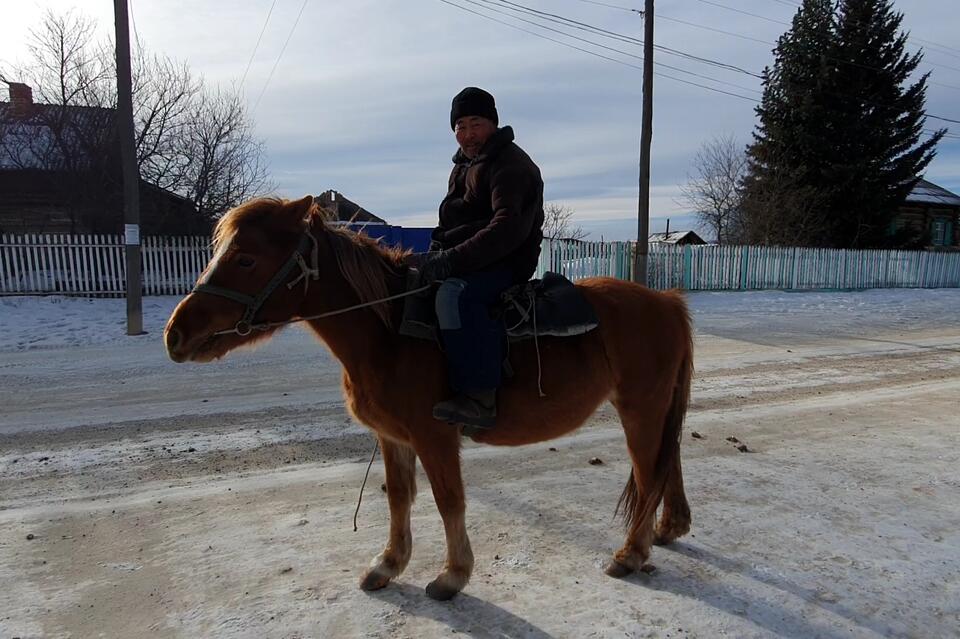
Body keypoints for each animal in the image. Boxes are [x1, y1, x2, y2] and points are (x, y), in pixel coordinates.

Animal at [163, 195, 688, 600]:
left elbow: (448, 499)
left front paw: (453, 575)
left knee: (647, 476)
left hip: (640, 410)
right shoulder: (393, 438)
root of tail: (668, 301)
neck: (389, 331)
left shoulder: (434, 436)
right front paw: (388, 564)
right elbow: (399, 497)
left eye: (246, 259)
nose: (175, 334)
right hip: (656, 409)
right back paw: (667, 530)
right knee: (667, 465)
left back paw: (631, 553)